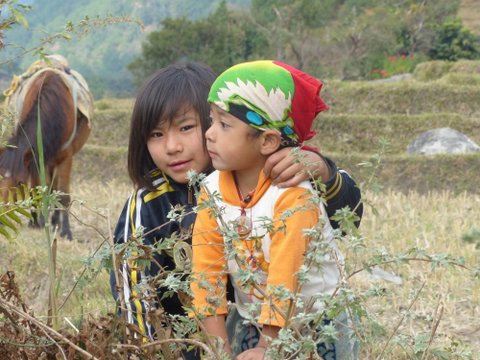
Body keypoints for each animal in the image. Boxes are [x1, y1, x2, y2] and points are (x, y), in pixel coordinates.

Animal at [0, 57, 93, 240]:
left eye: (19, 182)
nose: (1, 216)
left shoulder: (66, 157)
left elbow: (63, 195)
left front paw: (66, 231)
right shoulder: (35, 157)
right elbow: (37, 190)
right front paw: (38, 222)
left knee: (55, 188)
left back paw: (56, 221)